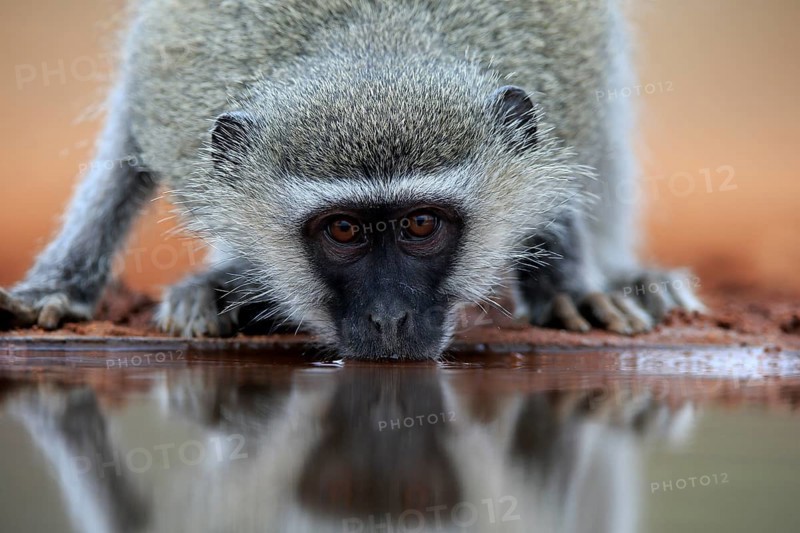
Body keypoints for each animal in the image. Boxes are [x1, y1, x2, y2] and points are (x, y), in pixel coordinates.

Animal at [0, 0, 704, 359]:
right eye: (341, 230)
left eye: (421, 224)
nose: (389, 320)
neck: (375, 42)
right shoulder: (174, 93)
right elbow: (127, 142)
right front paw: (61, 286)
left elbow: (554, 180)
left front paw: (567, 285)